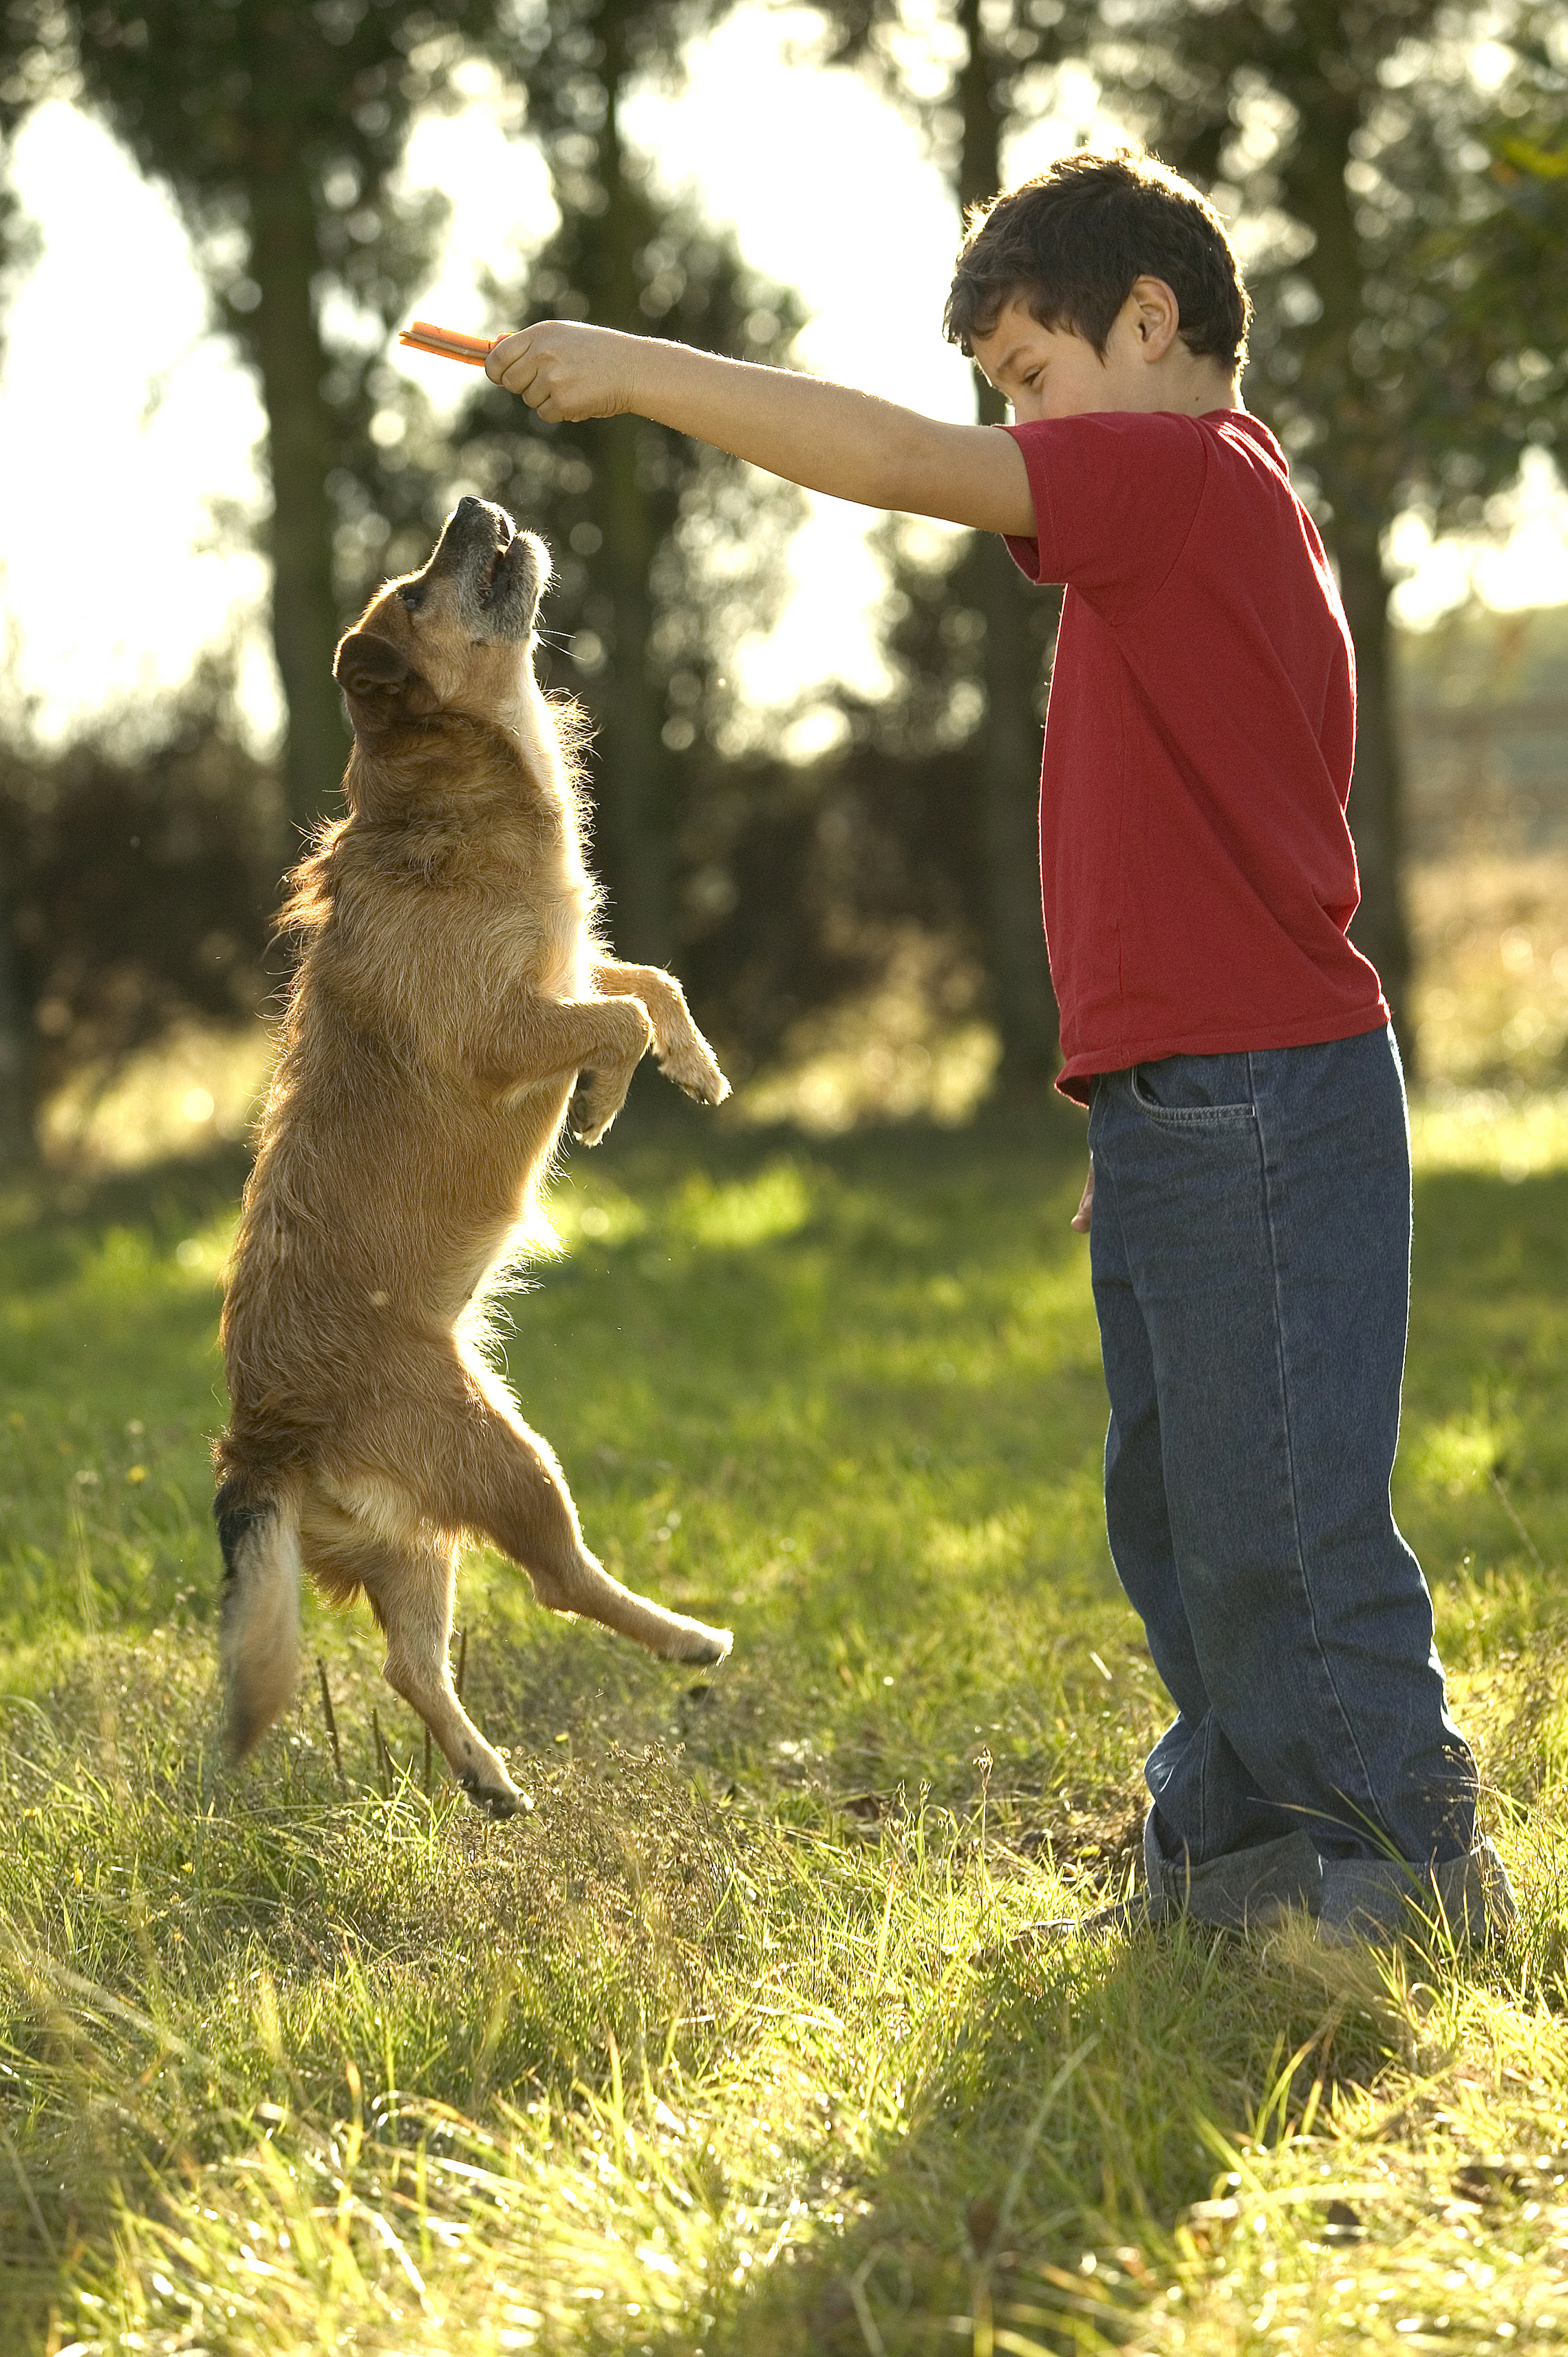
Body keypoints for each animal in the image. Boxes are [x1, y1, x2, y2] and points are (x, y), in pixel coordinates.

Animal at [214, 497, 735, 1810]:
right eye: (417, 588)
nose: (471, 505)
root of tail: (268, 1439)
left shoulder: (566, 964)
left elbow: (646, 981)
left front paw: (695, 1067)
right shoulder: (505, 1026)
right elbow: (616, 1016)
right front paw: (604, 1098)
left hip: (417, 1535)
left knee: (409, 1662)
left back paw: (488, 1775)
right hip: (506, 1458)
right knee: (555, 1579)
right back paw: (686, 1637)